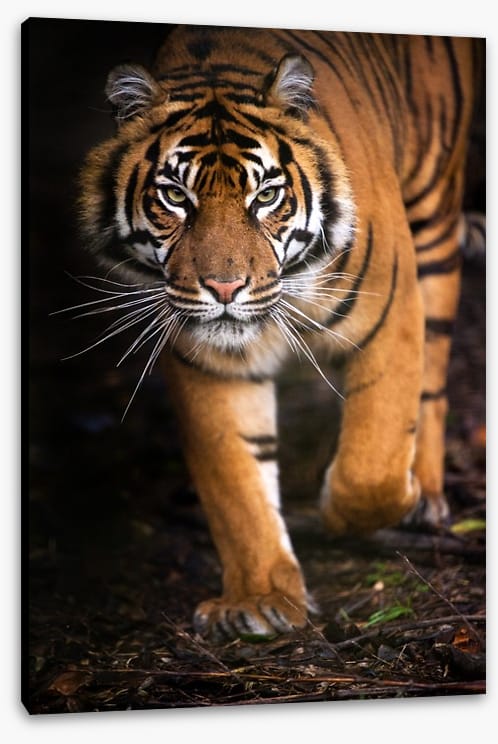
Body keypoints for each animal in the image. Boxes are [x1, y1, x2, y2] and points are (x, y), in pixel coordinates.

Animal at [78, 24, 484, 641]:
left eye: (265, 195)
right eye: (175, 196)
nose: (224, 288)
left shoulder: (391, 312)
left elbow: (372, 464)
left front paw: (358, 508)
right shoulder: (208, 362)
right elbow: (237, 484)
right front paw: (260, 599)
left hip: (433, 216)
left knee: (433, 380)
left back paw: (427, 496)